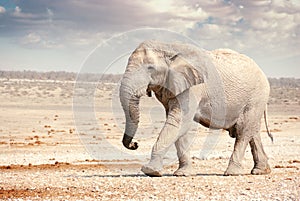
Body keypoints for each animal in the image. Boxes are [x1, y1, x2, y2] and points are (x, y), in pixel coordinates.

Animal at [119, 40, 272, 177]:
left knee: (242, 130)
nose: (135, 144)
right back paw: (260, 171)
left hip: (256, 97)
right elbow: (179, 126)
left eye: (150, 68)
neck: (169, 47)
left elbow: (178, 121)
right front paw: (182, 174)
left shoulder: (192, 88)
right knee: (252, 131)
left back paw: (232, 173)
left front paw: (150, 171)